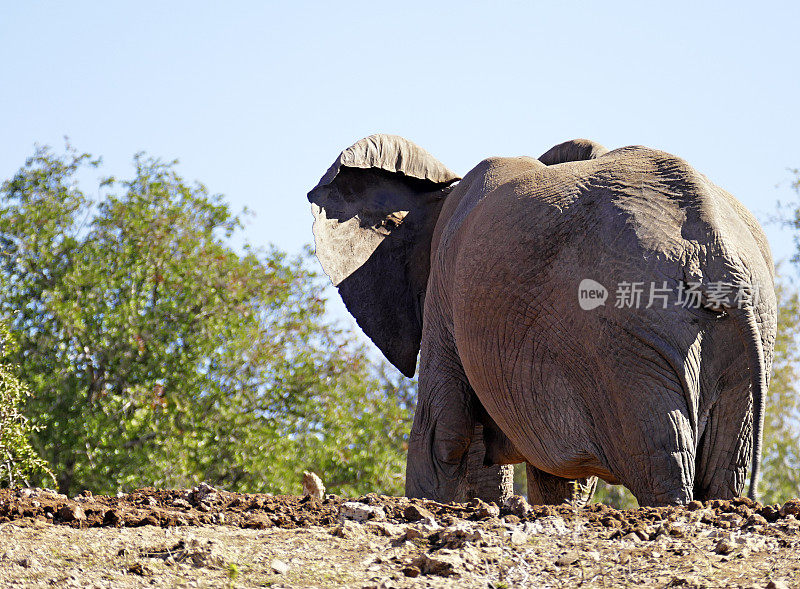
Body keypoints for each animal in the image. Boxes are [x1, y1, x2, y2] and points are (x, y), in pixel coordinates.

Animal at [306, 134, 776, 506]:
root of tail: (715, 250)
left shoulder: (445, 287)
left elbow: (444, 431)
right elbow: (558, 477)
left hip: (627, 337)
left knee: (662, 456)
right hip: (747, 329)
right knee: (725, 466)